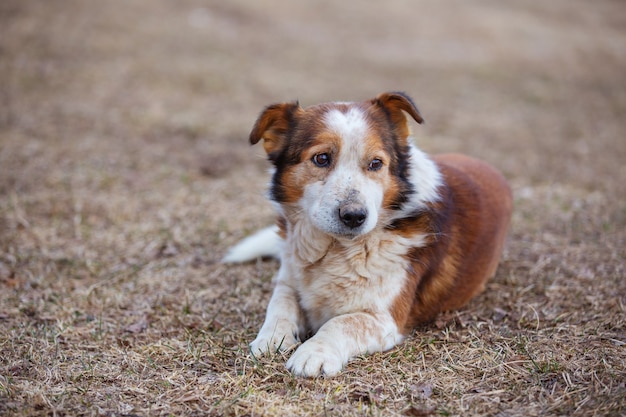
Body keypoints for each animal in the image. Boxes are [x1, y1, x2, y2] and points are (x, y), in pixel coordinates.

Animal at [224, 92, 512, 376]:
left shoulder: (385, 318)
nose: (354, 216)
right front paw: (270, 338)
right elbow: (279, 305)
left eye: (375, 163)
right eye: (321, 158)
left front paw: (313, 352)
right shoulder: (288, 278)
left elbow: (342, 322)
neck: (336, 249)